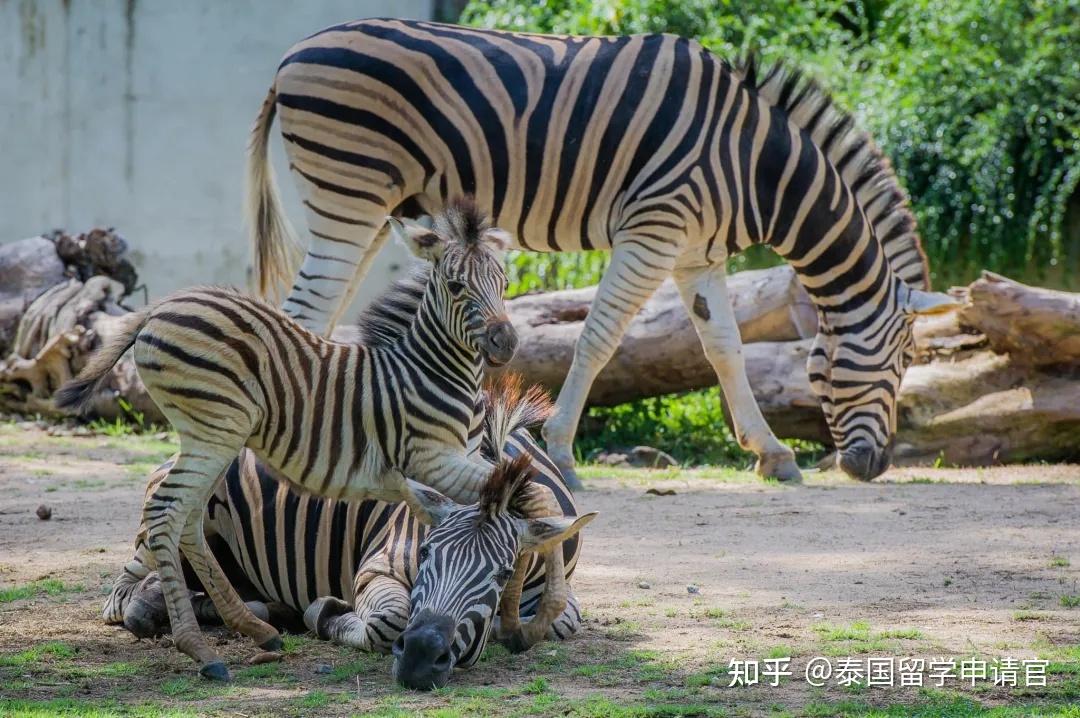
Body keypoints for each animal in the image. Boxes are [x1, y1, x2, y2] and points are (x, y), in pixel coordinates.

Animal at [56, 199, 574, 678]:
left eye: (504, 284)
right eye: (455, 286)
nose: (506, 343)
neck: (429, 371)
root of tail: (166, 303)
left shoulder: (464, 459)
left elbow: (521, 499)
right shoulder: (431, 459)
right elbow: (534, 497)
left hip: (215, 437)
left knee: (185, 520)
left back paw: (254, 625)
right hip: (213, 429)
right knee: (155, 534)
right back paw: (201, 648)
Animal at [250, 18, 954, 488]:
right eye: (905, 359)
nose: (873, 468)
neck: (755, 167)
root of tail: (291, 55)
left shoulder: (696, 253)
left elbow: (725, 349)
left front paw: (772, 453)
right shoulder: (653, 230)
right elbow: (599, 336)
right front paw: (560, 451)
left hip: (373, 211)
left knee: (320, 316)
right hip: (350, 195)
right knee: (305, 312)